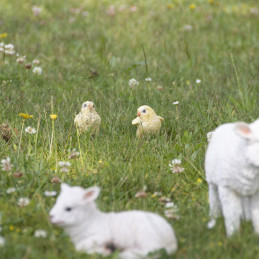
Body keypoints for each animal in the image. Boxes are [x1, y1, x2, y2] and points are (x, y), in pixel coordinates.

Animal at [49, 184, 178, 258]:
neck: (89, 221)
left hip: (147, 237)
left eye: (68, 209)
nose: (51, 217)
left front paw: (106, 251)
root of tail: (172, 242)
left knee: (152, 252)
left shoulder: (101, 236)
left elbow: (80, 248)